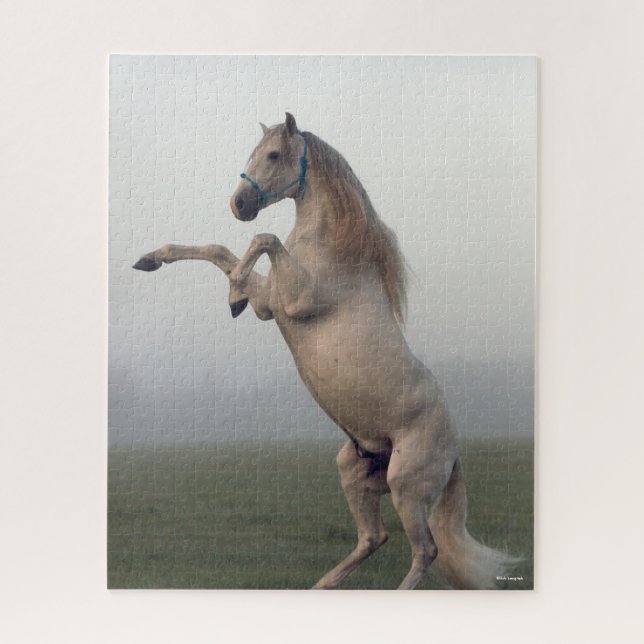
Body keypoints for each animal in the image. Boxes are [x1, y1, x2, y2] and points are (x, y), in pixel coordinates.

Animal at [133, 113, 518, 590]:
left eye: (273, 155)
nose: (239, 204)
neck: (331, 249)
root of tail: (454, 453)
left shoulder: (290, 302)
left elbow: (262, 239)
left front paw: (233, 294)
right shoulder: (269, 304)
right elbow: (221, 250)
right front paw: (154, 260)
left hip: (407, 487)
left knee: (424, 550)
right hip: (354, 472)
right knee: (373, 538)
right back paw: (321, 587)